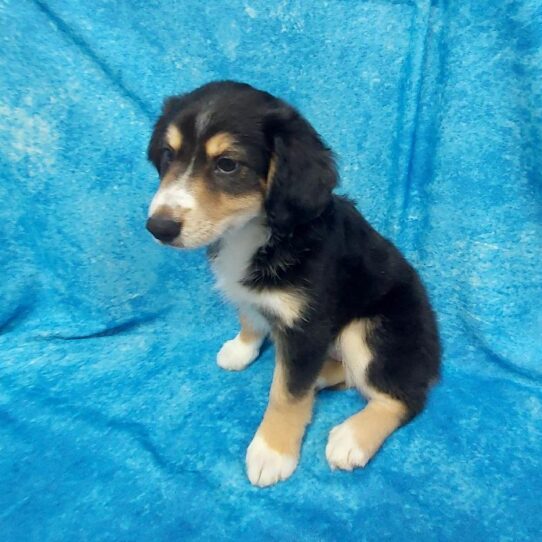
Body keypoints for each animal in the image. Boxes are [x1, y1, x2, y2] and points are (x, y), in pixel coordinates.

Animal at [146, 81, 442, 488]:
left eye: (227, 164)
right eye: (168, 154)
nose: (158, 227)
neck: (255, 233)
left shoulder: (307, 326)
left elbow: (286, 396)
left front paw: (272, 452)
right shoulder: (261, 305)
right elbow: (250, 318)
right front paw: (242, 349)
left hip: (371, 330)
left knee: (403, 397)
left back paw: (352, 437)